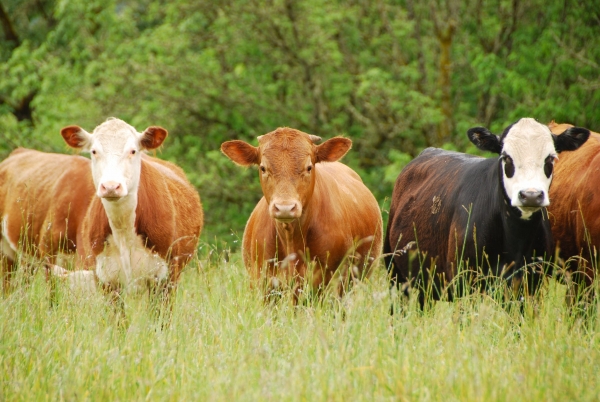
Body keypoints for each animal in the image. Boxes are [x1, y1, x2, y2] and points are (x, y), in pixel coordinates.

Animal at [0, 116, 203, 308]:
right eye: (94, 151)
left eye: (133, 151)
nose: (111, 186)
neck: (123, 232)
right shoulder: (100, 277)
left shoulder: (165, 279)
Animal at [221, 127, 384, 300]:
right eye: (263, 168)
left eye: (309, 167)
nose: (285, 207)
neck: (292, 239)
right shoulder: (264, 283)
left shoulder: (333, 281)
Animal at [382, 117, 588, 308]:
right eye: (506, 157)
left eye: (550, 158)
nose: (530, 195)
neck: (515, 241)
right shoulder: (465, 284)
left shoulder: (529, 289)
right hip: (396, 277)